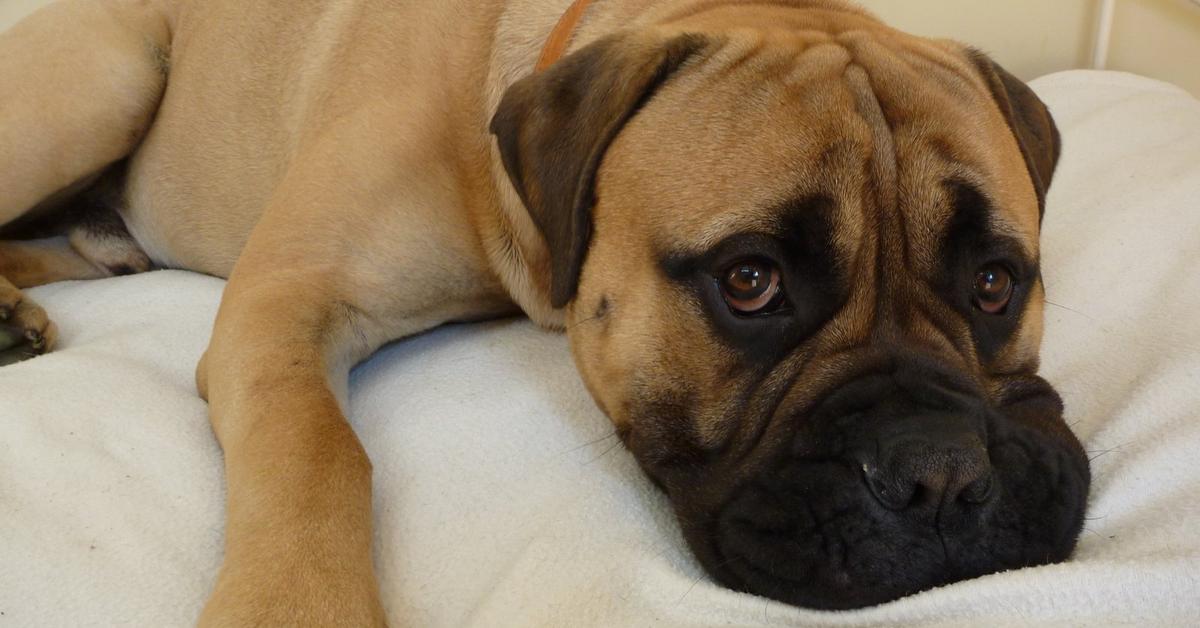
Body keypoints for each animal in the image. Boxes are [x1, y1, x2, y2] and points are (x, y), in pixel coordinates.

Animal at [0, 0, 1089, 624]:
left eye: (996, 282)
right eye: (750, 281)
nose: (941, 475)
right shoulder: (285, 301)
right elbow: (317, 454)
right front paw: (291, 605)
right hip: (109, 75)